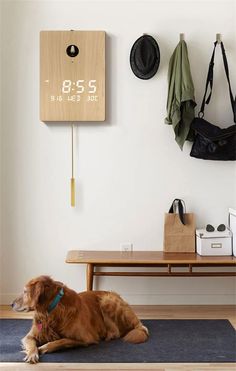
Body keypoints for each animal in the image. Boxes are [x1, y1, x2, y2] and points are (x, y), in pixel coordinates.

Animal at [12, 276, 148, 364]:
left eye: (25, 291)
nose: (11, 304)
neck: (50, 312)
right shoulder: (30, 336)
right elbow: (31, 344)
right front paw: (32, 354)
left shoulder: (86, 338)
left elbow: (60, 341)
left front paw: (43, 347)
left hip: (107, 300)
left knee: (116, 332)